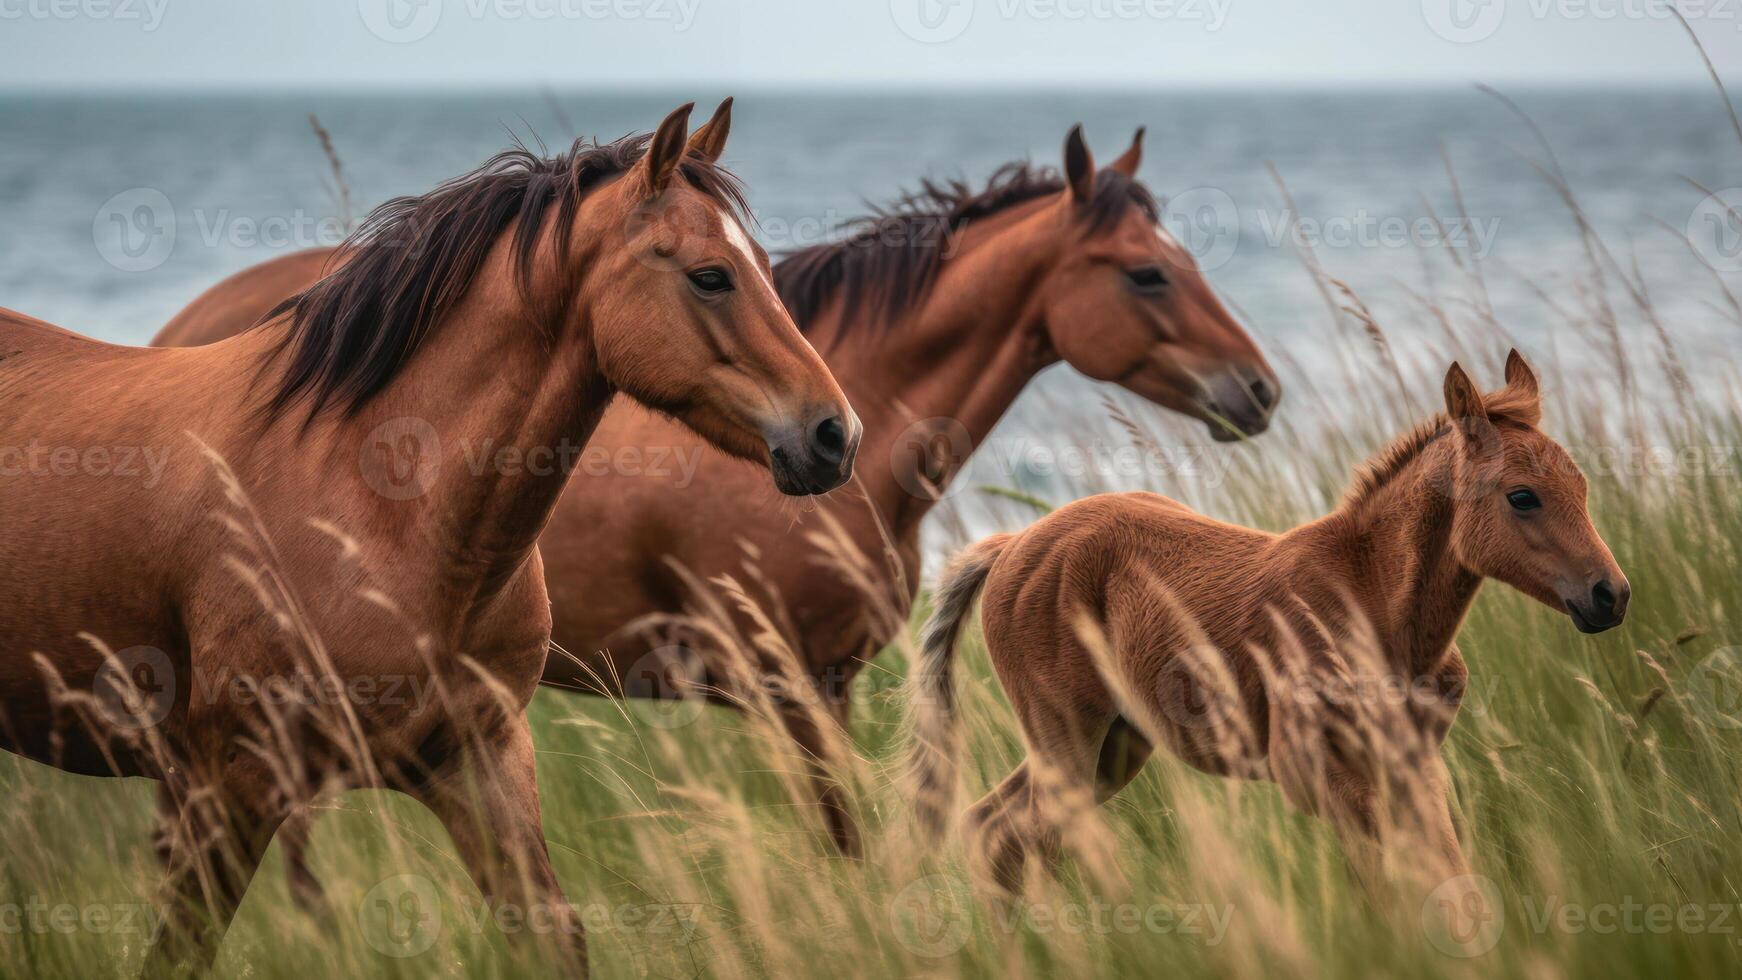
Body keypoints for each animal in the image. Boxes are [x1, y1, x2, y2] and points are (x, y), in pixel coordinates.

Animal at [0, 99, 857, 974]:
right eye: (710, 275)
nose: (833, 434)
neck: (378, 512)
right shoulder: (233, 780)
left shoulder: (480, 759)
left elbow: (551, 934)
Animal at [905, 351, 1623, 933]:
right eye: (1522, 497)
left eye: (1584, 485)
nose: (1610, 595)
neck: (1372, 600)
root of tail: (1011, 547)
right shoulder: (1320, 776)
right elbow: (1397, 890)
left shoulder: (1412, 767)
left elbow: (1444, 877)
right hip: (1066, 736)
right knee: (1018, 837)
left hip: (1113, 745)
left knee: (994, 832)